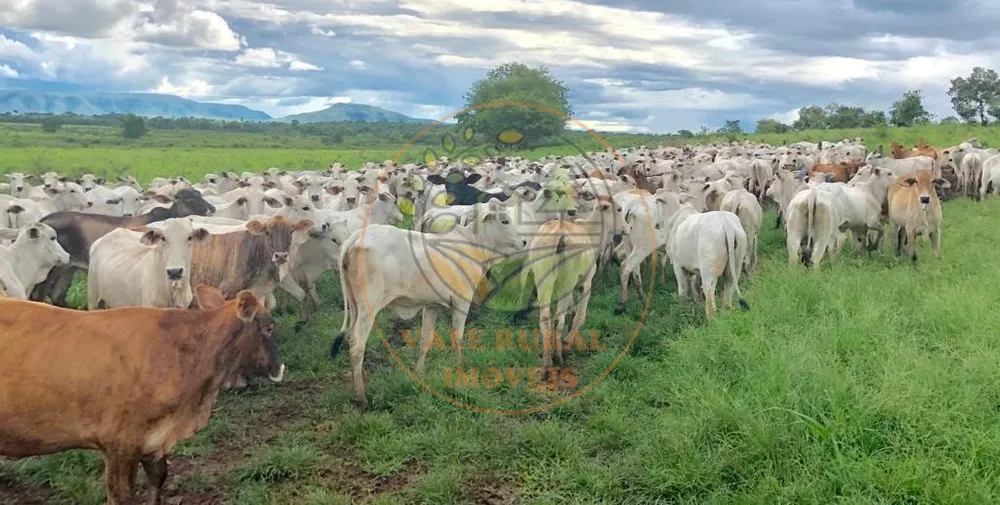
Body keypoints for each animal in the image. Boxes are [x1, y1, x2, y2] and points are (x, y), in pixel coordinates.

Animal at [0, 284, 284, 504]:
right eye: (269, 328)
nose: (280, 367)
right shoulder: (120, 444)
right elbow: (122, 495)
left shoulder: (153, 442)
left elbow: (158, 479)